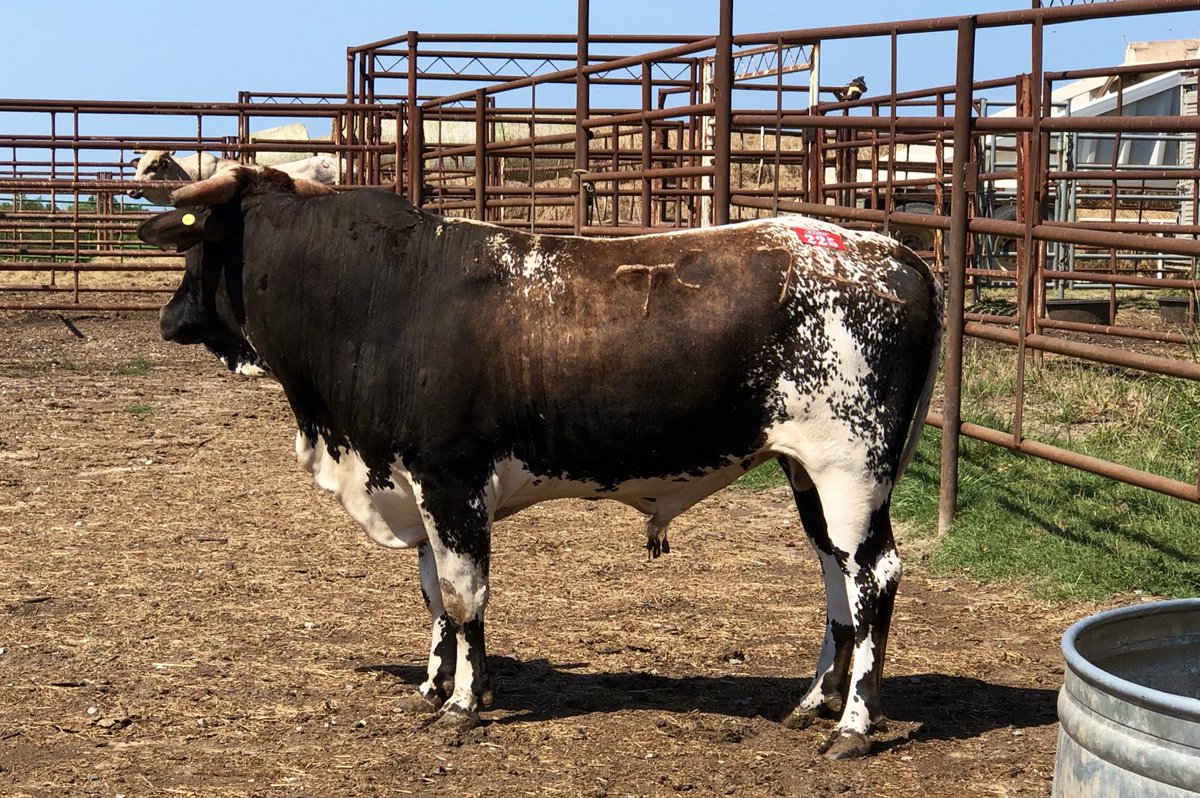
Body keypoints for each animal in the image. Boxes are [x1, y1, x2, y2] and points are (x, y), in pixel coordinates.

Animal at [138, 166, 942, 760]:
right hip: (807, 472)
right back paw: (811, 702)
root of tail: (894, 256)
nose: (168, 318)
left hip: (851, 469)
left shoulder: (452, 481)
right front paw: (436, 684)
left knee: (874, 577)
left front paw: (464, 703)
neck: (379, 296)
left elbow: (463, 596)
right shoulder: (418, 485)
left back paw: (853, 726)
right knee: (837, 580)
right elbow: (433, 594)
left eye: (195, 246)